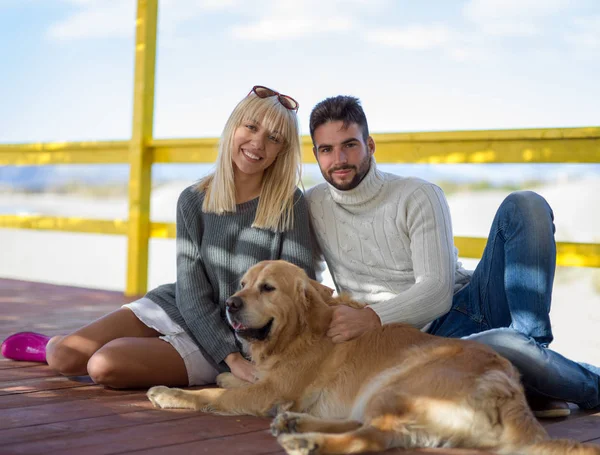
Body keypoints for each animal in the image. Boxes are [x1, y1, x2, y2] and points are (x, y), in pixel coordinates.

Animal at [146, 260, 600, 455]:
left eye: (268, 288)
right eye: (243, 283)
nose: (229, 304)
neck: (302, 330)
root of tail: (507, 387)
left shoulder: (269, 392)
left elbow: (212, 396)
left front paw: (170, 393)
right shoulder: (270, 383)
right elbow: (235, 380)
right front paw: (230, 375)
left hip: (398, 384)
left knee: (372, 436)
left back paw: (306, 439)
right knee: (370, 427)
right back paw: (297, 424)